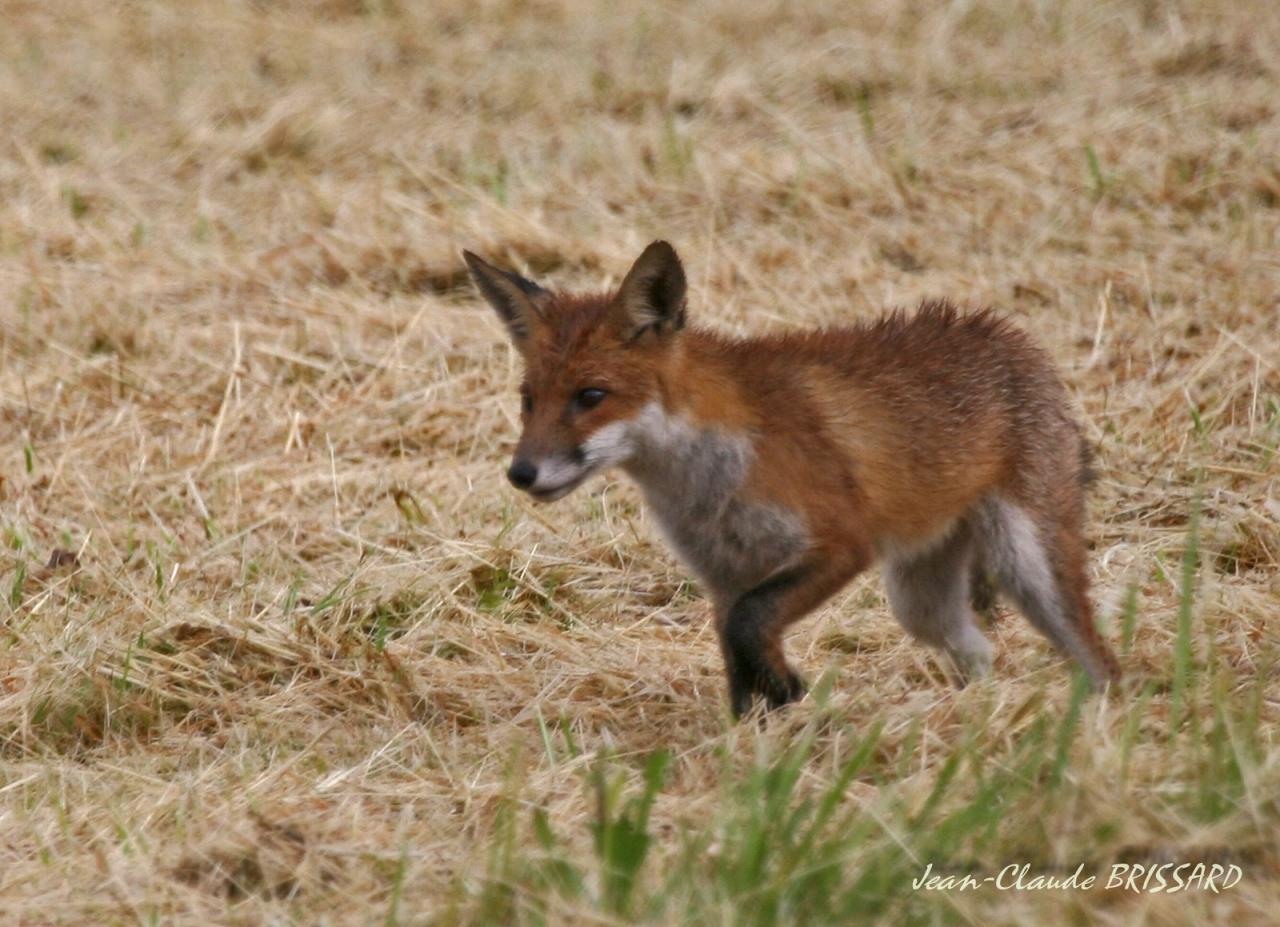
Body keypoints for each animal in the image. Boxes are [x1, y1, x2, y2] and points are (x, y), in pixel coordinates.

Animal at [463, 239, 1121, 717]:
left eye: (591, 397)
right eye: (528, 401)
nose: (521, 473)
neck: (705, 481)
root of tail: (1008, 333)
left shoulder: (839, 544)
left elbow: (750, 627)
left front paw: (787, 691)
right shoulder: (725, 577)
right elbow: (736, 651)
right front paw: (757, 741)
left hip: (1027, 564)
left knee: (1100, 660)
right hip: (919, 600)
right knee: (979, 651)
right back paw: (973, 719)